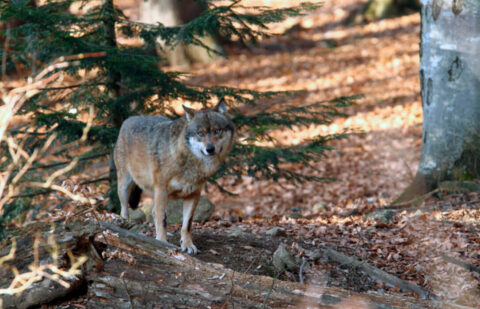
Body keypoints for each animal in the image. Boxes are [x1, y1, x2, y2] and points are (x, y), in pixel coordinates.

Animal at [112, 100, 232, 254]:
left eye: (217, 131)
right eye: (200, 133)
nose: (210, 149)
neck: (188, 161)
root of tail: (129, 119)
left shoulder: (194, 194)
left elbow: (187, 224)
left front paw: (187, 245)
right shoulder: (162, 190)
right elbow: (163, 220)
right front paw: (162, 244)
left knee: (153, 212)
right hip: (125, 186)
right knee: (125, 208)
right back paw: (124, 225)